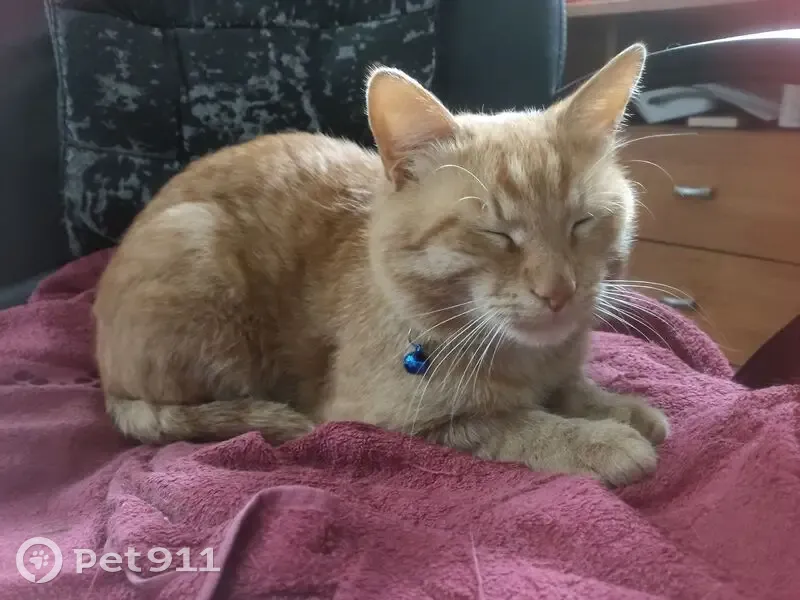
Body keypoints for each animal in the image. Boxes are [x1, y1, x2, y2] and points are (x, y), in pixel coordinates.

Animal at [93, 43, 668, 486]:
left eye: (581, 222)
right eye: (496, 233)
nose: (558, 291)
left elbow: (573, 388)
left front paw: (617, 406)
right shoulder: (388, 419)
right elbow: (514, 422)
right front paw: (601, 441)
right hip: (197, 259)